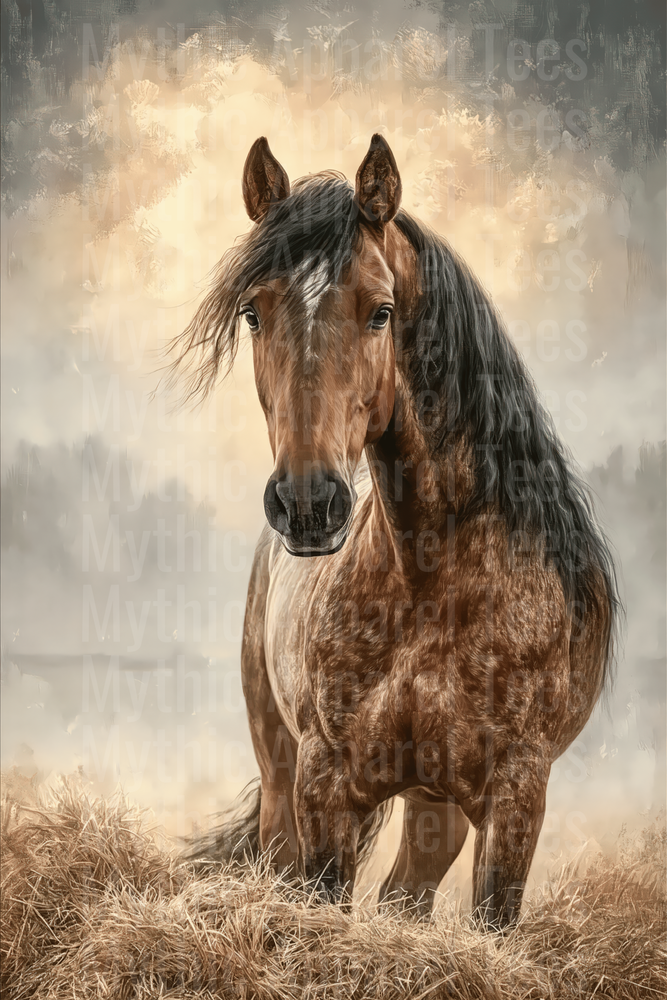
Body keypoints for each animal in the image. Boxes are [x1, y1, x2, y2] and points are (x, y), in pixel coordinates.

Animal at [171, 134, 618, 930]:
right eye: (253, 313)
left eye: (380, 311)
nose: (309, 503)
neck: (431, 575)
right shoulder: (324, 783)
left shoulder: (515, 796)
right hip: (283, 770)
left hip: (436, 804)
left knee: (406, 895)